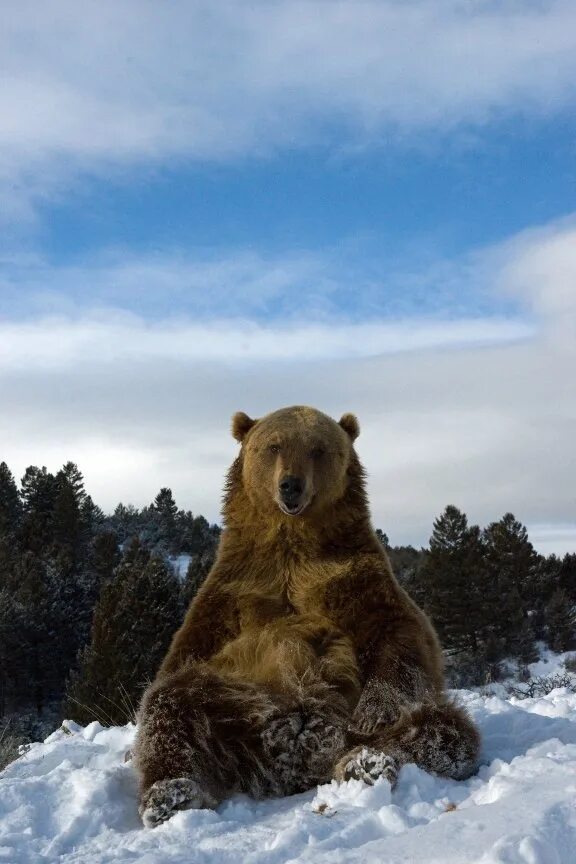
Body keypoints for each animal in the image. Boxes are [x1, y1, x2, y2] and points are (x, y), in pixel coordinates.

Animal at [133, 408, 480, 828]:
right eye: (273, 445)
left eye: (318, 448)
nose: (290, 486)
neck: (292, 545)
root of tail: (293, 763)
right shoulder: (236, 587)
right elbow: (187, 648)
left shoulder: (353, 578)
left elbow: (401, 635)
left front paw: (374, 713)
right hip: (233, 701)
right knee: (170, 704)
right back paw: (171, 794)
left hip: (345, 724)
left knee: (443, 730)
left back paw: (367, 764)